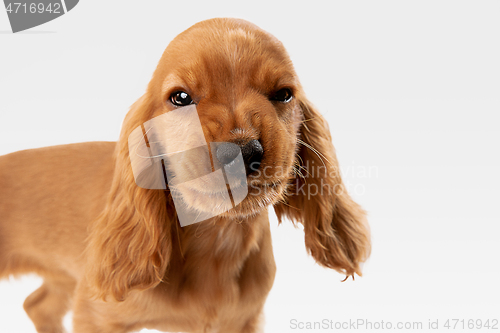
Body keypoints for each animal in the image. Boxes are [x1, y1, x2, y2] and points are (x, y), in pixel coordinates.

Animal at [0, 18, 370, 332]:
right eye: (180, 97)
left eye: (283, 94)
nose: (242, 152)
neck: (218, 238)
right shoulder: (96, 314)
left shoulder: (244, 321)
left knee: (37, 304)